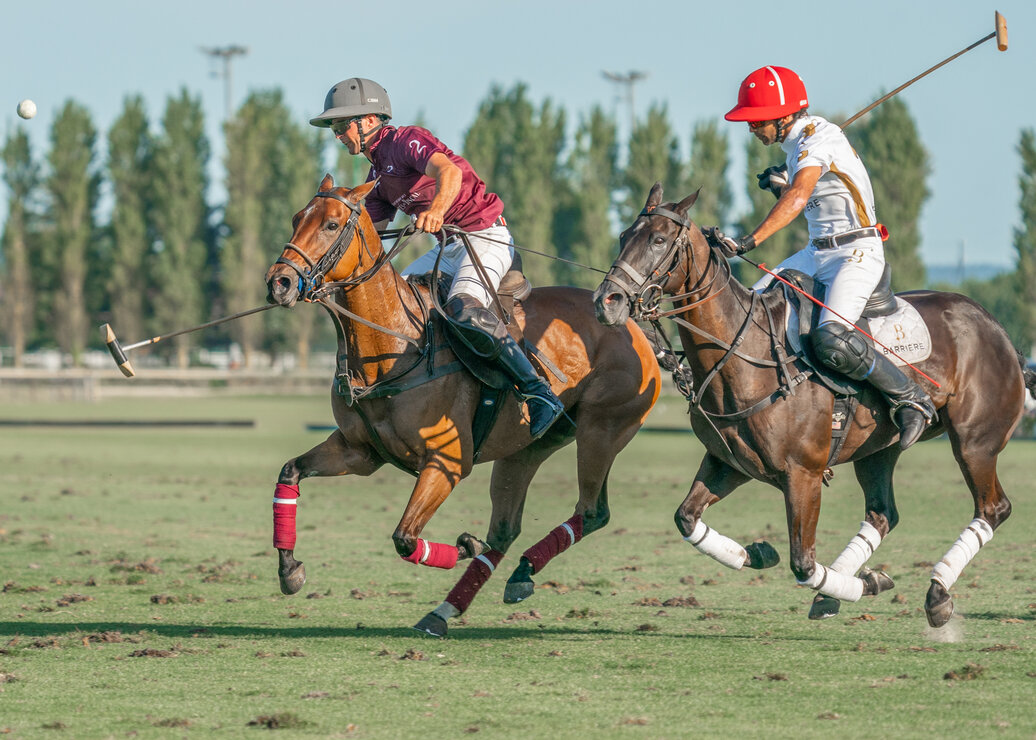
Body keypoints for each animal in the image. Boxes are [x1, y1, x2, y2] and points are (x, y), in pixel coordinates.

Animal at [263, 176, 658, 638]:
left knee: (593, 512)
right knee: (506, 528)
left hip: (602, 430)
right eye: (296, 218)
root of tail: (633, 325)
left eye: (330, 224)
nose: (279, 282)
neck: (391, 343)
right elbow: (290, 471)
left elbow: (404, 537)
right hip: (526, 449)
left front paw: (466, 544)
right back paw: (462, 602)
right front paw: (290, 570)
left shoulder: (447, 459)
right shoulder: (358, 452)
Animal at [592, 183, 1036, 621]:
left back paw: (937, 592)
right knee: (883, 514)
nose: (606, 301)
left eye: (659, 240)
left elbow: (803, 562)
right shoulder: (728, 462)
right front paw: (759, 553)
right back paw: (835, 593)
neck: (744, 355)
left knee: (992, 508)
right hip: (879, 449)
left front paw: (865, 584)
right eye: (623, 236)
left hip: (975, 442)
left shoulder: (802, 474)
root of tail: (1000, 332)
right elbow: (686, 518)